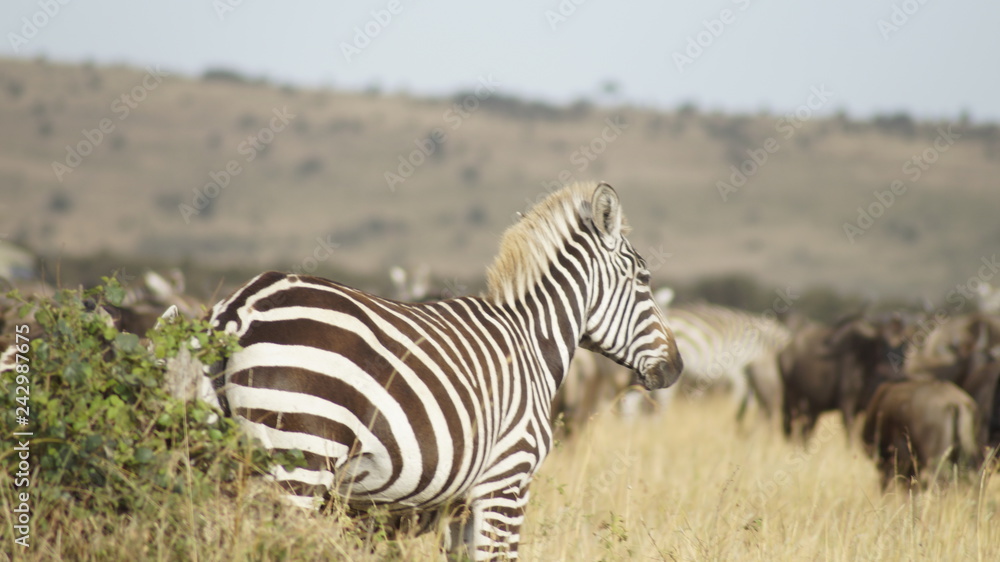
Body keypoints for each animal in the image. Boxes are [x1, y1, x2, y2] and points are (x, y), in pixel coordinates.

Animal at [203, 182, 683, 559]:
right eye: (644, 279)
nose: (676, 368)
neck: (531, 338)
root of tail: (242, 307)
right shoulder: (506, 482)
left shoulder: (461, 503)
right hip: (298, 459)